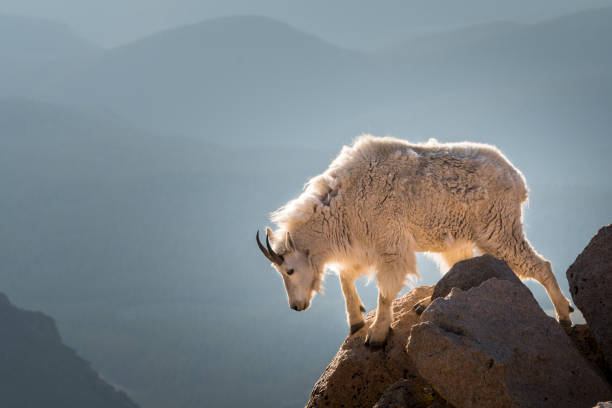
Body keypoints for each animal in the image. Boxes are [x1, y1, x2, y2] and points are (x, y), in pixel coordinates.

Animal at [256, 135, 572, 346]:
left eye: (289, 270)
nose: (297, 306)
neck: (342, 203)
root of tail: (517, 179)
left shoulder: (390, 244)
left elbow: (385, 292)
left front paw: (376, 336)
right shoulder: (364, 246)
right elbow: (346, 276)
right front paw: (356, 319)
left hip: (498, 229)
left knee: (539, 265)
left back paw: (564, 314)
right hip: (460, 237)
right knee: (460, 265)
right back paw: (423, 302)